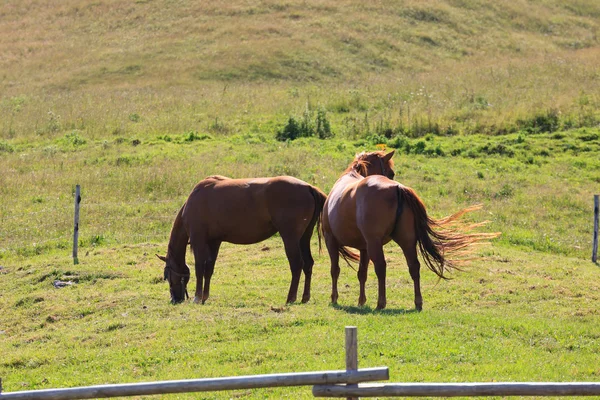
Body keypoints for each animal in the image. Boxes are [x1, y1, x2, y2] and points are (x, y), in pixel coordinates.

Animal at [157, 177, 326, 304]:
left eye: (166, 275)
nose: (174, 299)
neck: (195, 200)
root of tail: (308, 187)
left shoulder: (199, 241)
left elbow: (199, 269)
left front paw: (198, 298)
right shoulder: (214, 242)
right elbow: (209, 269)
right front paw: (205, 296)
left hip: (290, 239)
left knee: (297, 265)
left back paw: (290, 298)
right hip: (303, 239)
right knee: (308, 264)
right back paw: (305, 297)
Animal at [322, 150, 500, 310]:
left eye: (391, 172)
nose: (392, 177)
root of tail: (398, 188)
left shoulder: (333, 241)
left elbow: (335, 270)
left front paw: (335, 298)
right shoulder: (363, 247)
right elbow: (362, 274)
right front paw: (361, 301)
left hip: (376, 243)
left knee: (381, 268)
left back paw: (381, 303)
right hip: (406, 241)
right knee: (414, 266)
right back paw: (418, 302)